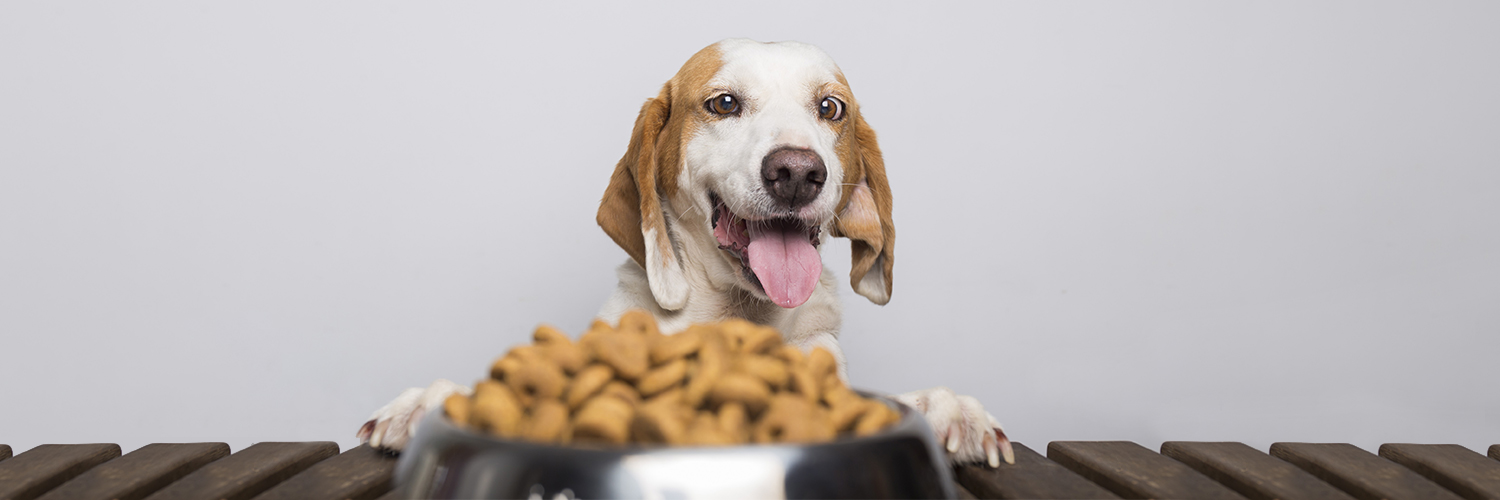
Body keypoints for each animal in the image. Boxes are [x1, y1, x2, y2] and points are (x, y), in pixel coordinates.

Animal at [361, 39, 1014, 468]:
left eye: (831, 108)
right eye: (724, 103)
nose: (797, 172)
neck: (733, 315)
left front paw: (949, 409)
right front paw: (427, 401)